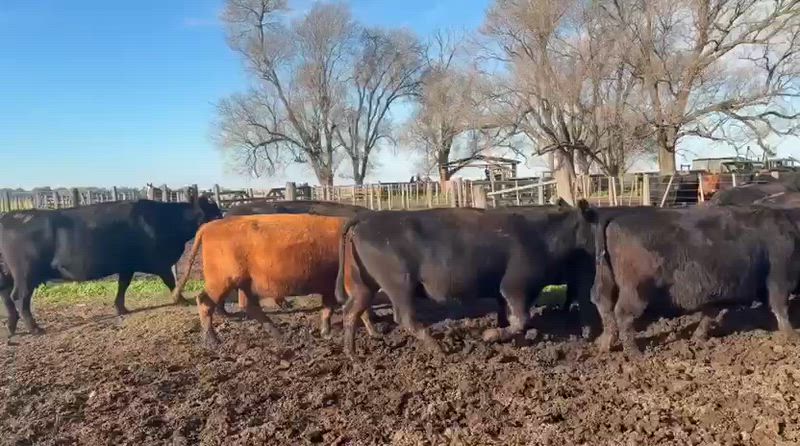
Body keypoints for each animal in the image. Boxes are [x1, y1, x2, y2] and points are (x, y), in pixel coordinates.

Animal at [0, 196, 222, 337]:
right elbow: (170, 280)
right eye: (215, 215)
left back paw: (11, 327)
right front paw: (181, 300)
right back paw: (35, 329)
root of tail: (10, 216)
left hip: (7, 273)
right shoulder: (158, 262)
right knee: (19, 297)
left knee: (6, 296)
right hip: (26, 273)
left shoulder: (127, 265)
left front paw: (121, 308)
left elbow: (123, 285)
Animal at [172, 214, 379, 347]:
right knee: (204, 302)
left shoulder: (329, 286)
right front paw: (375, 332)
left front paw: (326, 332)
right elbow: (360, 309)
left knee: (248, 306)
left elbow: (328, 308)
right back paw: (213, 341)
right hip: (222, 280)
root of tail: (208, 226)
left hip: (244, 282)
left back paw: (279, 335)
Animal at [335, 202, 598, 357]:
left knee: (351, 312)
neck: (543, 237)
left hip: (364, 283)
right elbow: (521, 318)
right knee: (404, 317)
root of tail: (367, 218)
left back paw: (352, 354)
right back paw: (439, 348)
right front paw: (489, 336)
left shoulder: (504, 290)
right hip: (399, 283)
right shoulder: (515, 286)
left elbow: (507, 316)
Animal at [592, 206, 800, 357]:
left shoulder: (720, 291)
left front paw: (699, 338)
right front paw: (791, 335)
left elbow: (709, 314)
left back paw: (604, 344)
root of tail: (616, 218)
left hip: (606, 281)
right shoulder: (779, 278)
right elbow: (780, 306)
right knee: (623, 313)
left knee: (604, 306)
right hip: (636, 290)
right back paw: (635, 354)